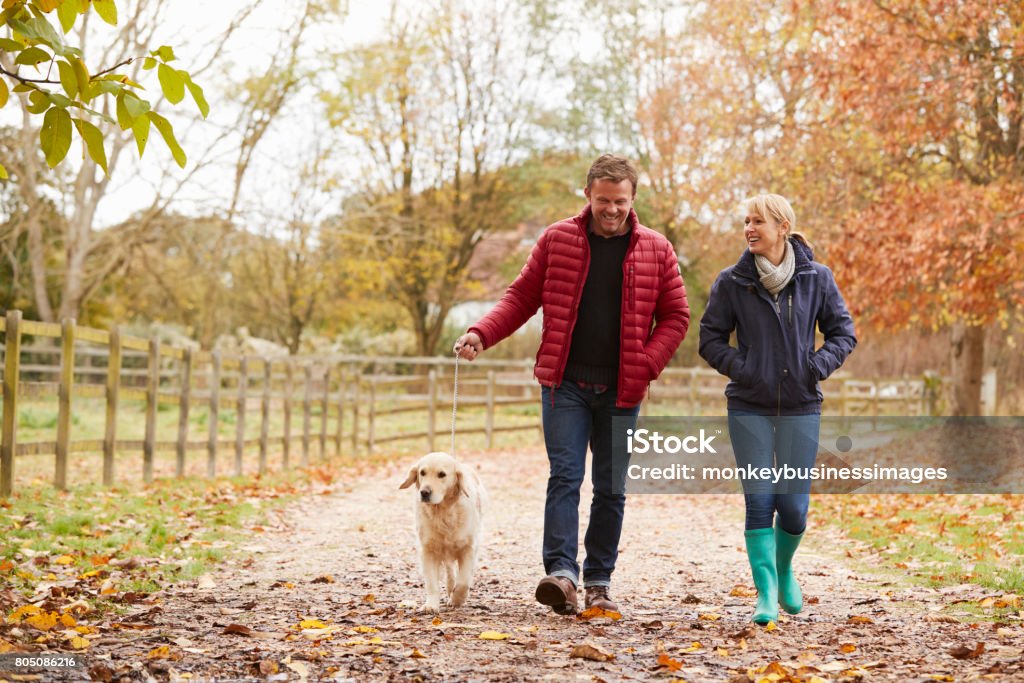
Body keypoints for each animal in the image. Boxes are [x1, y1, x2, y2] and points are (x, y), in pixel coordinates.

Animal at [397, 454, 485, 614]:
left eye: (442, 474)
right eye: (422, 473)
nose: (424, 492)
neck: (443, 512)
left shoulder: (468, 548)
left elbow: (464, 581)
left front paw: (457, 599)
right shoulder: (428, 551)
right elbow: (432, 583)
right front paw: (431, 605)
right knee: (450, 572)